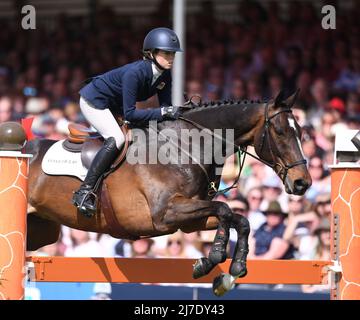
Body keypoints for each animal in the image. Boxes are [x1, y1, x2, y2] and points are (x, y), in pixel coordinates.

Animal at [26, 89, 312, 296]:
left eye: (301, 132)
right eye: (280, 132)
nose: (303, 183)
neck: (186, 147)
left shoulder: (188, 220)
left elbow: (238, 219)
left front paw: (233, 269)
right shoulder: (164, 215)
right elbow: (225, 209)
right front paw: (213, 258)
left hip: (41, 230)